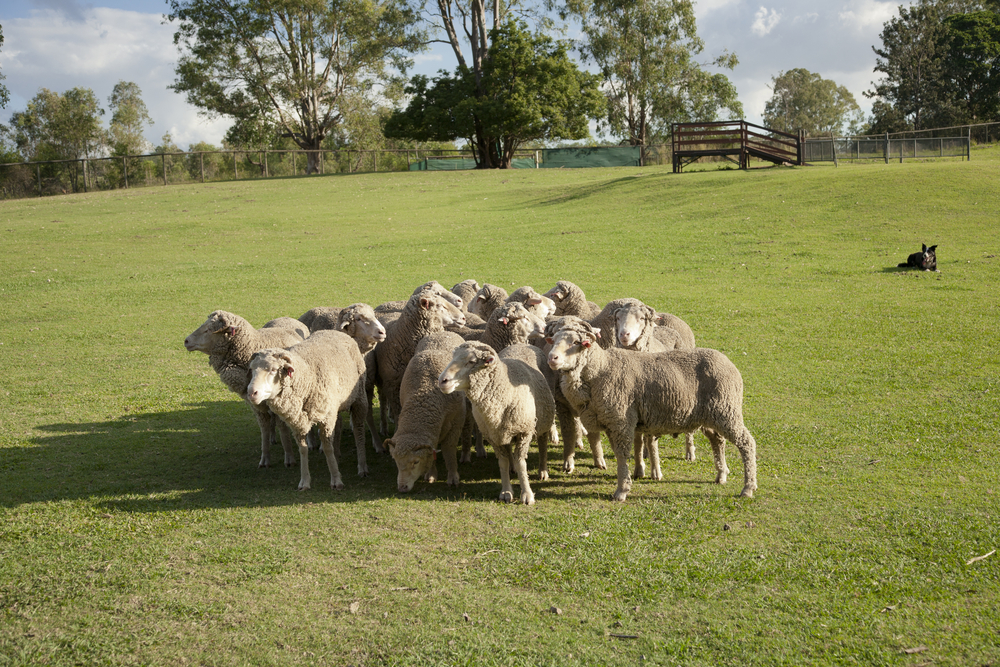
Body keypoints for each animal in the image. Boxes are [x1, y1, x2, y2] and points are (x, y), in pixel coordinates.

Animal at [185, 312, 306, 470]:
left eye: (209, 329)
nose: (186, 341)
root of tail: (286, 318)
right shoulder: (256, 405)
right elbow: (264, 428)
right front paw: (265, 458)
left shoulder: (279, 400)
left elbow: (282, 426)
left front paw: (289, 456)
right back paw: (273, 437)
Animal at [246, 332, 368, 494]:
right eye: (252, 369)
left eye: (273, 369)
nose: (251, 393)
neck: (306, 376)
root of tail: (336, 332)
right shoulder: (298, 423)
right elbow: (303, 450)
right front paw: (304, 481)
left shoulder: (326, 418)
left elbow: (327, 447)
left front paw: (336, 480)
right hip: (335, 406)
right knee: (339, 425)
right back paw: (337, 456)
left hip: (359, 398)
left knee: (359, 431)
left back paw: (362, 466)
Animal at [438, 344, 556, 506]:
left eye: (471, 361)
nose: (442, 381)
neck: (505, 390)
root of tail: (524, 344)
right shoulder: (493, 435)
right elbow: (503, 462)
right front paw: (506, 492)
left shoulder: (524, 432)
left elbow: (521, 462)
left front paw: (527, 495)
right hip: (504, 430)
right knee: (509, 450)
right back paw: (513, 468)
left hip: (543, 419)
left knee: (543, 444)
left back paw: (543, 471)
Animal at [548, 318, 756, 500]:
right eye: (555, 340)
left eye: (576, 342)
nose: (552, 357)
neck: (600, 369)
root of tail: (729, 363)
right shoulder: (611, 422)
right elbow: (620, 453)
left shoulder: (621, 421)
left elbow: (622, 455)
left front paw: (622, 490)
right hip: (711, 415)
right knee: (717, 440)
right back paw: (721, 475)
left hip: (726, 411)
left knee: (746, 443)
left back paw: (748, 487)